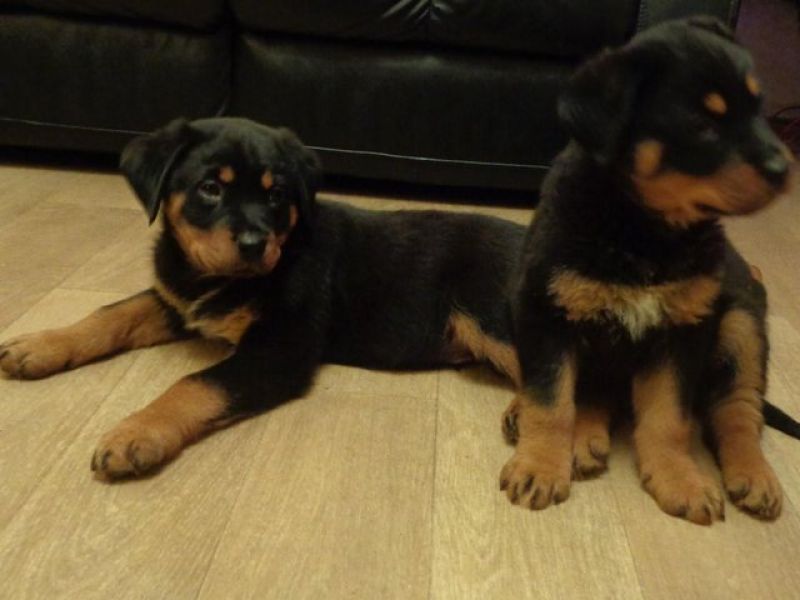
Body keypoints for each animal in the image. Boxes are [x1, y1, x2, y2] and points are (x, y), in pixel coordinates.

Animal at [0, 117, 530, 480]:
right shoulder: (177, 301)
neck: (214, 278)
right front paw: (38, 345)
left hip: (488, 309)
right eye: (209, 188)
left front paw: (135, 433)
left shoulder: (278, 349)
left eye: (277, 196)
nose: (255, 243)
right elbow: (111, 314)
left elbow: (195, 383)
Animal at [500, 17, 797, 524]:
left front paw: (680, 480)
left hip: (741, 321)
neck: (644, 232)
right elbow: (551, 398)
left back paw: (756, 477)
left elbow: (668, 417)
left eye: (759, 108)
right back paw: (576, 436)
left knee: (738, 408)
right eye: (701, 125)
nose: (784, 168)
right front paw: (539, 466)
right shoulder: (546, 309)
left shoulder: (683, 331)